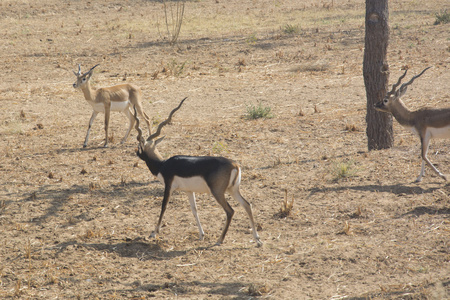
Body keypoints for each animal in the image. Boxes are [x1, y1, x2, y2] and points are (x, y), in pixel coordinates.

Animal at [132, 98, 262, 246]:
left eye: (139, 145)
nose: (136, 153)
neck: (163, 165)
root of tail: (235, 165)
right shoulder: (189, 191)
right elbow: (194, 210)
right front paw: (201, 234)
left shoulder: (168, 186)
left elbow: (163, 207)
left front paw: (154, 233)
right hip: (232, 190)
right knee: (247, 205)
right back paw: (257, 239)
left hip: (218, 192)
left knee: (230, 211)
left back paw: (220, 240)